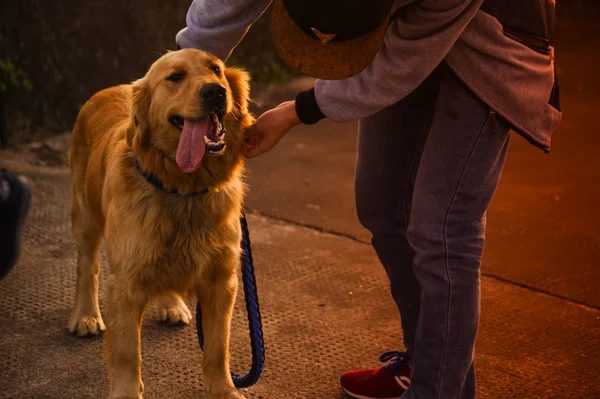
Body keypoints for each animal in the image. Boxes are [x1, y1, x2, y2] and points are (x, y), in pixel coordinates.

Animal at [67, 50, 252, 399]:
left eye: (216, 70)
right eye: (175, 77)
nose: (215, 92)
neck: (184, 190)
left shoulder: (221, 280)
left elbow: (217, 347)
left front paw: (223, 390)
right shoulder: (126, 284)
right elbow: (127, 353)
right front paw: (126, 393)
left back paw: (171, 305)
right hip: (85, 216)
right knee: (87, 267)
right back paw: (85, 316)